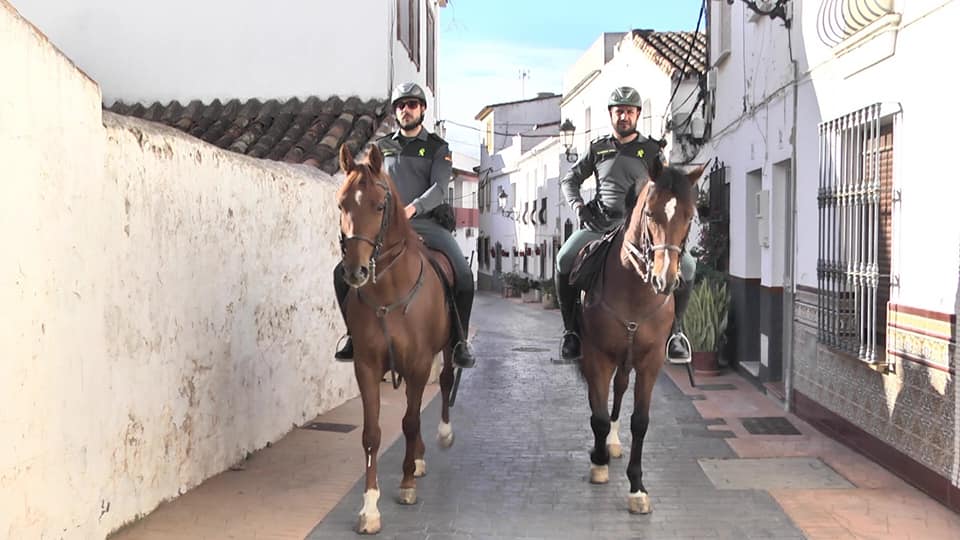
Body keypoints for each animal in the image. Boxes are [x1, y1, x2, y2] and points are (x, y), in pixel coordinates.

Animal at [336, 143, 460, 536]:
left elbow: (409, 421)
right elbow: (372, 434)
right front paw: (369, 508)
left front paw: (406, 485)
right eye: (342, 204)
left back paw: (440, 438)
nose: (355, 271)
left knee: (445, 381)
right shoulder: (366, 366)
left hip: (445, 350)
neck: (389, 291)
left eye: (379, 205)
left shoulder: (420, 363)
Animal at [576, 161, 704, 516]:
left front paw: (637, 487)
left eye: (690, 216)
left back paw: (614, 442)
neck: (635, 289)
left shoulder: (650, 361)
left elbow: (640, 422)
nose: (665, 279)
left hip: (628, 359)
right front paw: (598, 461)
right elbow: (598, 415)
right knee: (600, 401)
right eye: (649, 213)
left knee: (620, 390)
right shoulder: (597, 356)